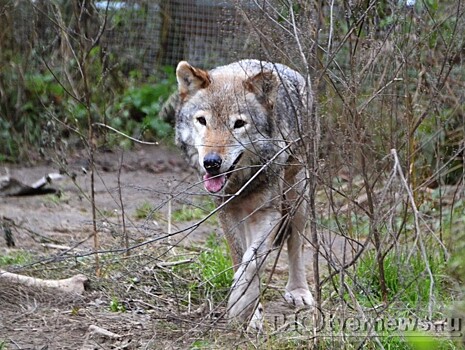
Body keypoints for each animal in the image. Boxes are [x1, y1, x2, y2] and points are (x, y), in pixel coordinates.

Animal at [175, 58, 320, 330]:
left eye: (239, 124)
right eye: (202, 121)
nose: (211, 163)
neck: (242, 182)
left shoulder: (268, 213)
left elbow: (252, 263)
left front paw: (241, 306)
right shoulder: (227, 212)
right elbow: (239, 257)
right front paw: (251, 313)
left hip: (298, 197)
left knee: (295, 244)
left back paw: (298, 291)